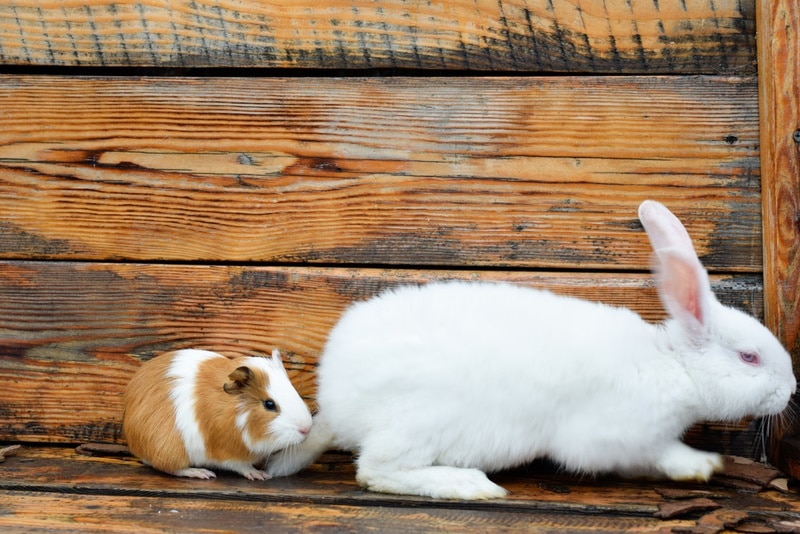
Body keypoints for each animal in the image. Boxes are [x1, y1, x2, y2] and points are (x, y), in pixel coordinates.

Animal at [123, 348, 312, 480]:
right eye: (269, 404)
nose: (306, 429)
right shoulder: (225, 452)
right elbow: (241, 466)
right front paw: (259, 475)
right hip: (171, 451)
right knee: (171, 468)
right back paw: (201, 473)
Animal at [266, 200, 796, 500]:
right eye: (750, 357)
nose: (791, 389)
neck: (672, 365)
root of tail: (334, 403)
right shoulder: (613, 435)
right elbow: (658, 454)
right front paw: (700, 465)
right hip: (416, 426)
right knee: (374, 472)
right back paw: (469, 486)